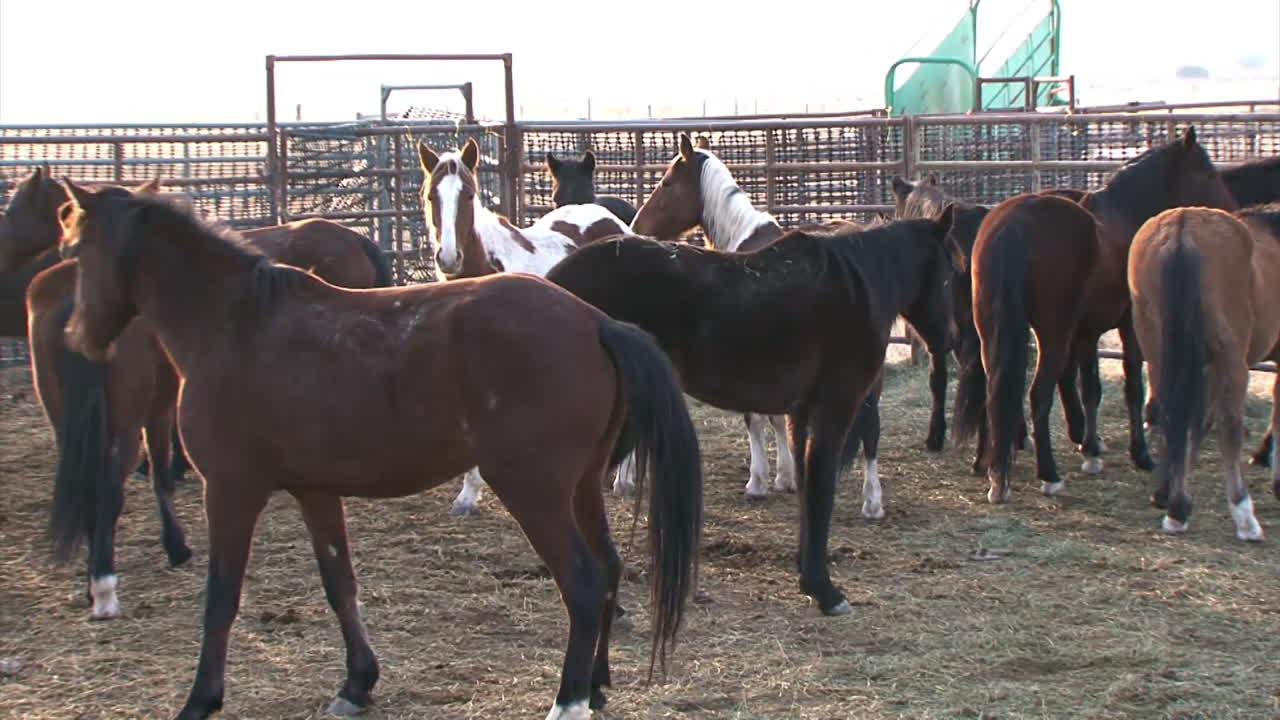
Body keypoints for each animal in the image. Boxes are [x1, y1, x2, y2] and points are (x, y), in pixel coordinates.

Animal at [57, 179, 703, 720]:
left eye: (77, 251)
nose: (77, 336)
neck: (237, 325)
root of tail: (596, 322)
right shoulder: (315, 492)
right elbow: (340, 585)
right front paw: (356, 683)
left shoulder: (233, 490)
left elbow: (221, 597)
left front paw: (201, 699)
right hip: (581, 484)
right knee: (609, 569)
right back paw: (595, 686)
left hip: (534, 491)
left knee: (584, 583)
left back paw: (568, 701)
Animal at [544, 210, 962, 616]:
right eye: (949, 275)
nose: (951, 339)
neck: (856, 288)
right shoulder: (833, 412)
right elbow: (821, 492)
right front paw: (825, 591)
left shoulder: (800, 415)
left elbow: (806, 490)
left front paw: (807, 576)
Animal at [1128, 206, 1271, 541]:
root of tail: (1181, 229)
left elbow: (1196, 422)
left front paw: (1168, 492)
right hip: (1230, 359)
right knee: (1229, 427)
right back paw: (1244, 516)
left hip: (1157, 347)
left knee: (1168, 413)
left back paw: (1175, 506)